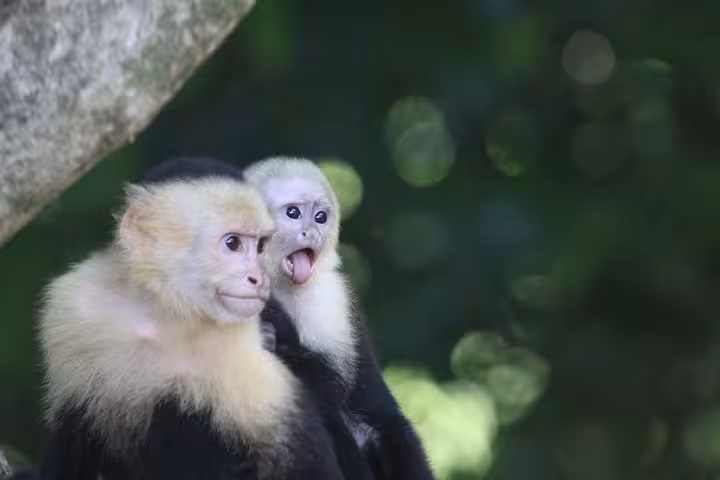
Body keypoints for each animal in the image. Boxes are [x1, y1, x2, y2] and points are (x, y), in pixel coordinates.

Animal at [36, 176, 350, 480]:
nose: (258, 278)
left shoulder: (240, 348)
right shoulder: (73, 309)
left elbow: (304, 461)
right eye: (233, 243)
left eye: (261, 246)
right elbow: (71, 434)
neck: (162, 313)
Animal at [141, 156, 436, 480]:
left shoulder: (331, 298)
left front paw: (279, 341)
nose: (312, 232)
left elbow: (332, 386)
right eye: (293, 213)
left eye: (320, 217)